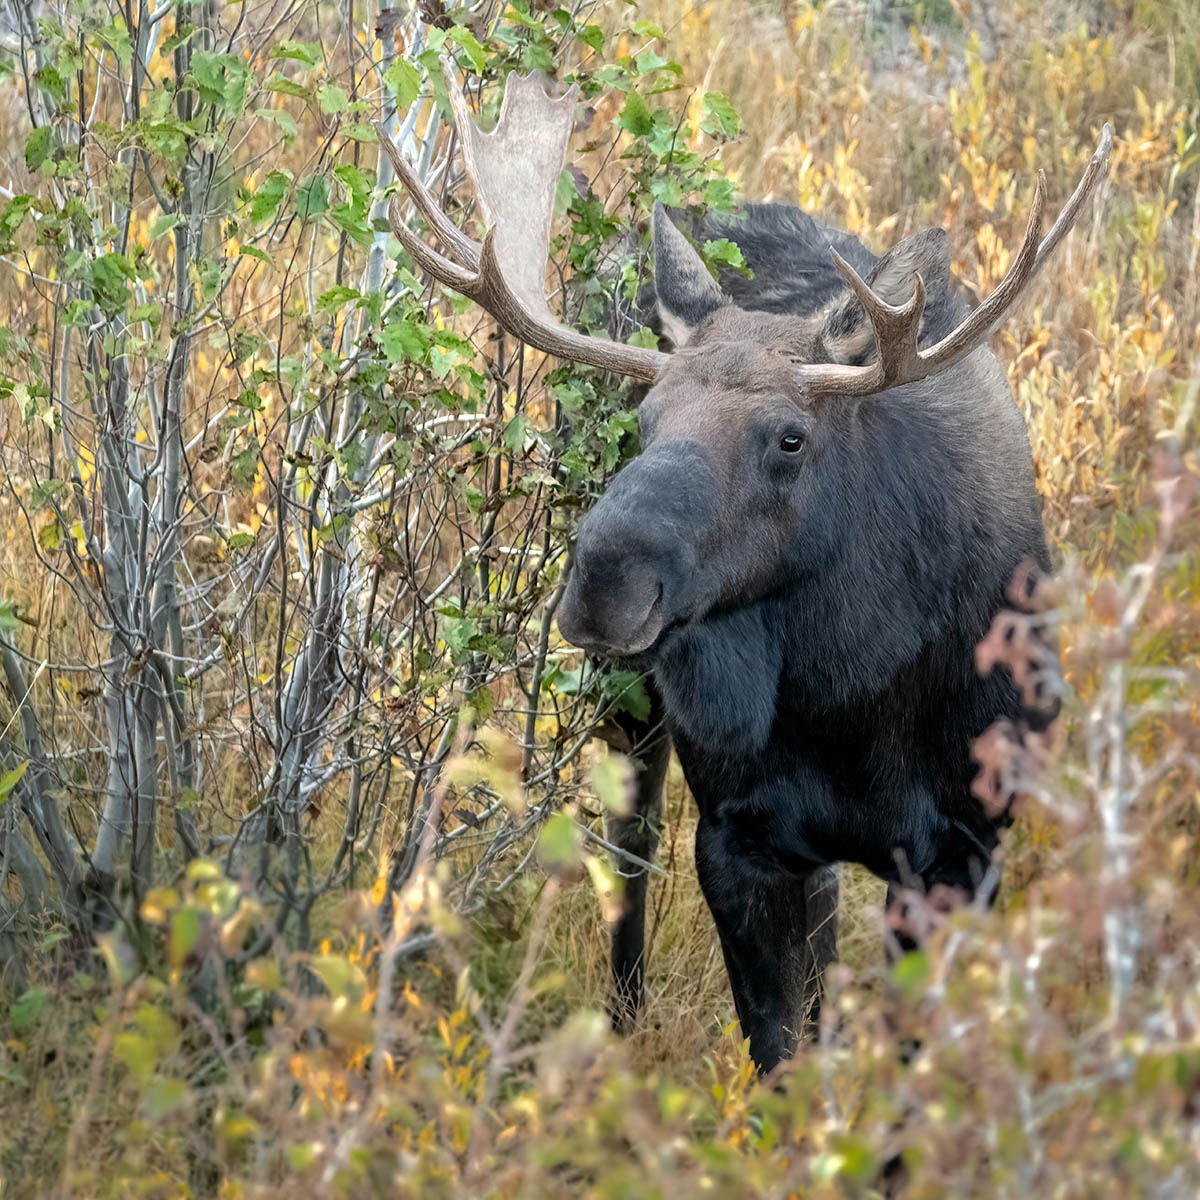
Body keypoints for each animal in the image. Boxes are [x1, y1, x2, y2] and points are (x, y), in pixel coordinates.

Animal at [377, 67, 1112, 1074]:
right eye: (643, 420)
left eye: (791, 438)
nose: (603, 582)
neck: (851, 694)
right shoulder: (737, 839)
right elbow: (778, 1059)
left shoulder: (966, 851)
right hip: (633, 711)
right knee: (633, 846)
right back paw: (621, 1029)